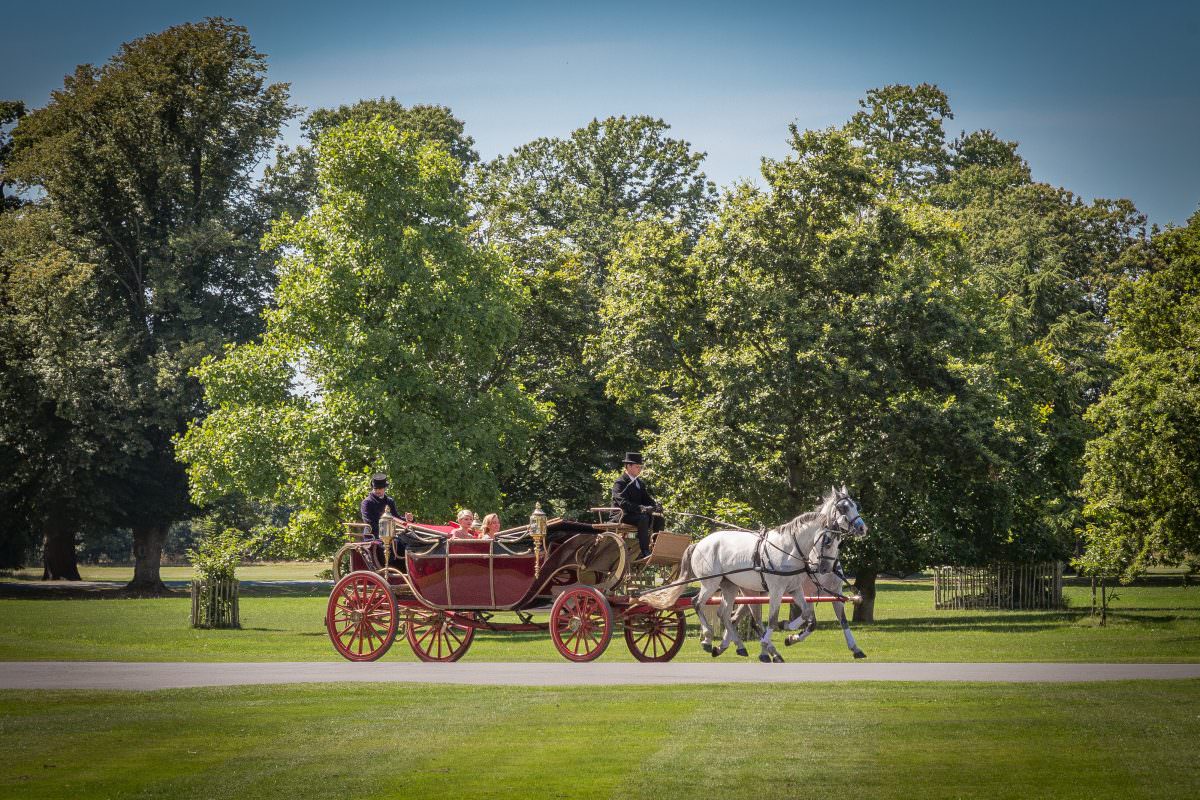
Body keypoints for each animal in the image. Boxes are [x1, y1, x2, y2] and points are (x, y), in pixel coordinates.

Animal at [643, 489, 868, 662]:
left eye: (856, 505)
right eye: (843, 508)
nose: (862, 527)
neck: (791, 550)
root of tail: (700, 543)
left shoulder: (797, 589)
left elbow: (809, 617)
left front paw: (788, 633)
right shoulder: (778, 590)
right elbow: (775, 619)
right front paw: (774, 638)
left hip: (731, 586)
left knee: (725, 614)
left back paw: (738, 646)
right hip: (711, 583)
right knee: (697, 603)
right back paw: (709, 639)